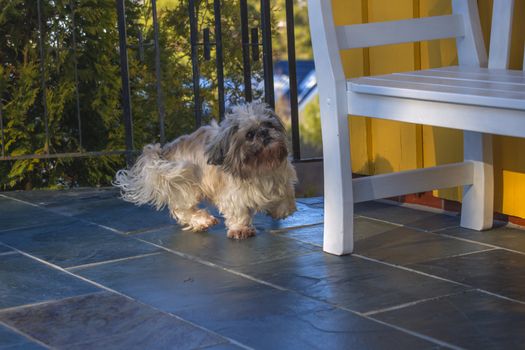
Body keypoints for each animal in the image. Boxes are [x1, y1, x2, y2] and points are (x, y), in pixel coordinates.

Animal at [113, 100, 294, 239]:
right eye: (249, 135)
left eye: (269, 124)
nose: (264, 132)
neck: (260, 167)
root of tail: (164, 152)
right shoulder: (232, 195)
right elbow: (238, 212)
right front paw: (241, 229)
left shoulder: (281, 180)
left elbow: (285, 199)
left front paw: (280, 210)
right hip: (183, 185)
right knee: (182, 209)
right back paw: (203, 221)